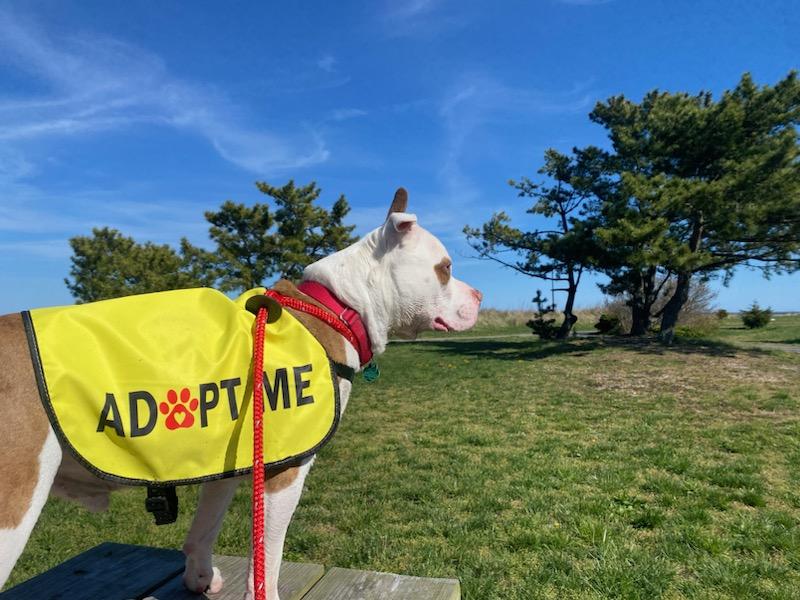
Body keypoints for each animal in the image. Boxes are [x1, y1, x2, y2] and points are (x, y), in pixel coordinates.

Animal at [0, 189, 482, 600]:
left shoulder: (226, 466)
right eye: (445, 268)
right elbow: (267, 556)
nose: (479, 294)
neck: (334, 307)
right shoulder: (283, 474)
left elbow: (204, 529)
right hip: (14, 507)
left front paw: (199, 577)